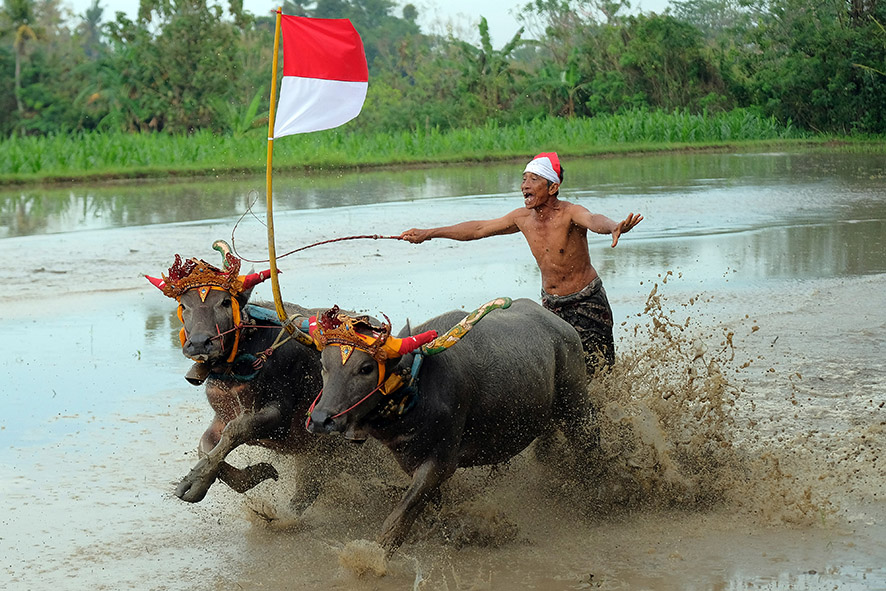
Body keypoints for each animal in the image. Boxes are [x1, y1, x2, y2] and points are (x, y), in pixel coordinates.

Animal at [147, 242, 346, 512]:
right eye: (184, 306)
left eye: (224, 302)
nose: (199, 343)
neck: (234, 369)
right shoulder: (220, 416)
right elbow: (205, 446)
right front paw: (255, 473)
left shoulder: (279, 414)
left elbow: (238, 428)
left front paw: (194, 481)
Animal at [306, 298, 596, 556]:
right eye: (323, 366)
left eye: (366, 368)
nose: (321, 419)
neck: (417, 389)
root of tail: (565, 329)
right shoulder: (410, 460)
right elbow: (429, 502)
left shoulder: (442, 461)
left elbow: (403, 511)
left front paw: (377, 554)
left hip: (575, 405)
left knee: (588, 443)